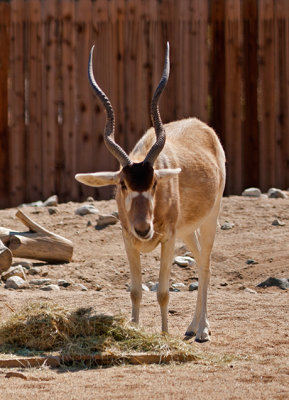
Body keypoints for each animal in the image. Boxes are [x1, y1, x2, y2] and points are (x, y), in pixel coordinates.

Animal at [75, 43, 224, 342]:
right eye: (123, 184)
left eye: (155, 183)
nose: (144, 229)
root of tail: (203, 127)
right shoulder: (128, 240)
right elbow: (135, 291)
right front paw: (133, 330)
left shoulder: (167, 240)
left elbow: (163, 292)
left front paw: (164, 336)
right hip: (186, 231)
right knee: (199, 258)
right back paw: (193, 326)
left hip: (209, 218)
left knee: (205, 263)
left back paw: (202, 329)